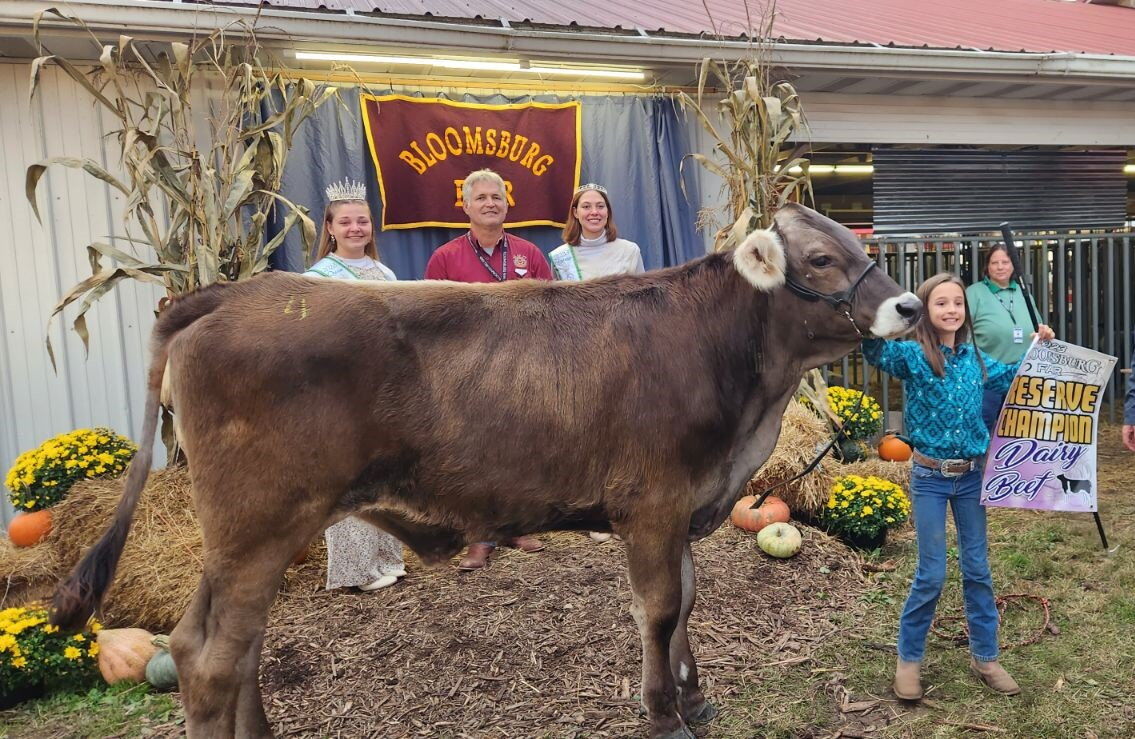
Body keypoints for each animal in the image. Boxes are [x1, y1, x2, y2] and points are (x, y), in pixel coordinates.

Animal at [55, 204, 921, 739]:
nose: (910, 307)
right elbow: (659, 609)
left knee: (218, 644)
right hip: (257, 523)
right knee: (209, 659)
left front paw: (695, 697)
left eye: (857, 247)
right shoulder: (650, 503)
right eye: (821, 257)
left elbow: (689, 600)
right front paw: (662, 712)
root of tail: (223, 295)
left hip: (243, 538)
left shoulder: (684, 508)